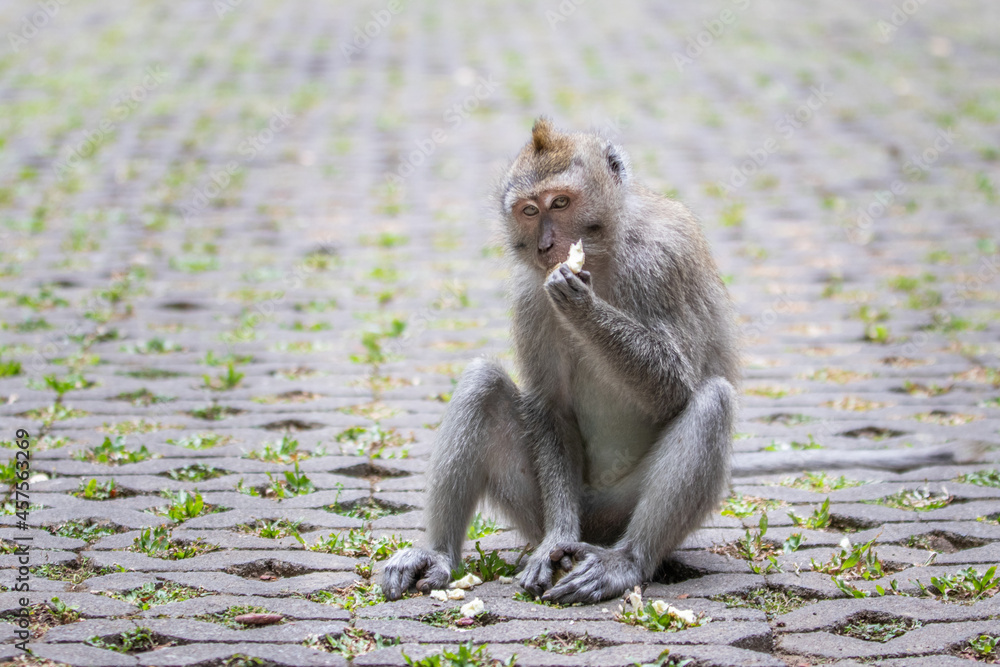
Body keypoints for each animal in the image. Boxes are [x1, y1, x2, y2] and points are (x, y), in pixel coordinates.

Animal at [381, 118, 986, 605]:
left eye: (561, 203)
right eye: (529, 211)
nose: (548, 245)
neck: (604, 254)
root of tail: (599, 528)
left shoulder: (663, 259)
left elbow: (676, 387)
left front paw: (581, 304)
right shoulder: (529, 297)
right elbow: (549, 408)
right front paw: (554, 542)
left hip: (622, 511)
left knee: (711, 401)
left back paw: (626, 564)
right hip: (549, 505)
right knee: (482, 384)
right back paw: (440, 555)